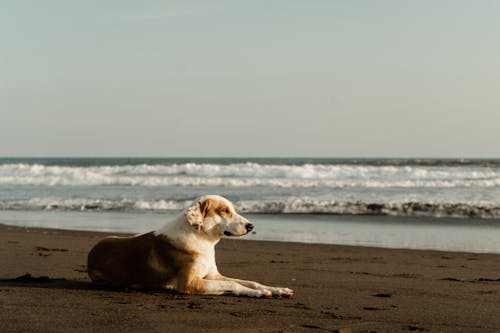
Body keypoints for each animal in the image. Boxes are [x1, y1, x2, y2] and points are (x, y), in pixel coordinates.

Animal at [88, 193, 294, 296]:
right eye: (225, 211)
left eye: (232, 210)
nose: (251, 226)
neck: (202, 240)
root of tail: (91, 253)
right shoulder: (191, 282)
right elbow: (234, 284)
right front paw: (258, 293)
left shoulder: (213, 275)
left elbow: (250, 281)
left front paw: (275, 289)